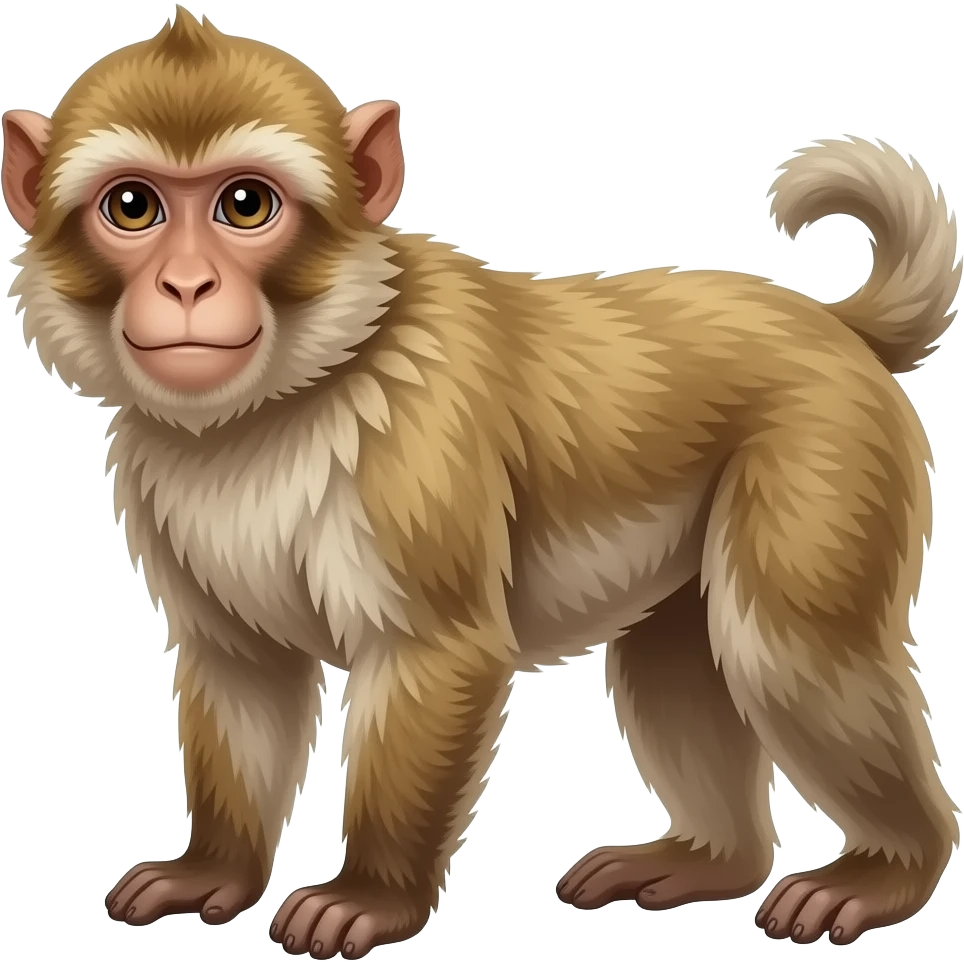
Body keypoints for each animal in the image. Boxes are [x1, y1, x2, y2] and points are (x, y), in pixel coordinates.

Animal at [2, 7, 960, 958]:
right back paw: (714, 860)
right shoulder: (163, 485)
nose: (188, 284)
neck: (280, 401)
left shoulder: (413, 451)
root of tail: (836, 328)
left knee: (788, 644)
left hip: (825, 447)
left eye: (246, 204)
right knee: (679, 659)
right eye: (133, 207)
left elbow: (433, 654)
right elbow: (243, 668)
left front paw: (372, 895)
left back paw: (892, 867)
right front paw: (214, 870)